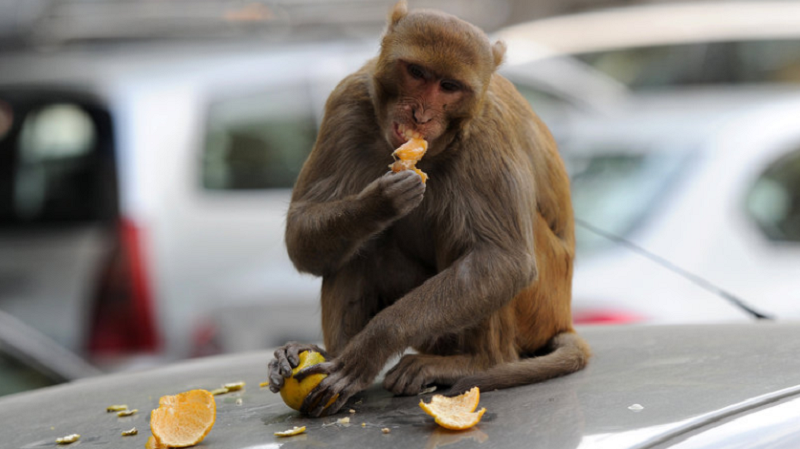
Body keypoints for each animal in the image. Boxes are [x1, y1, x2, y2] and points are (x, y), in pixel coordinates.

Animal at [267, 0, 590, 417]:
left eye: (449, 87)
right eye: (417, 73)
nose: (420, 115)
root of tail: (563, 317)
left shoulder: (487, 132)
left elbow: (504, 260)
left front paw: (370, 348)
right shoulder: (347, 102)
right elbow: (301, 232)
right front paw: (377, 203)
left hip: (538, 309)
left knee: (468, 235)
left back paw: (476, 361)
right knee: (359, 249)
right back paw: (331, 356)